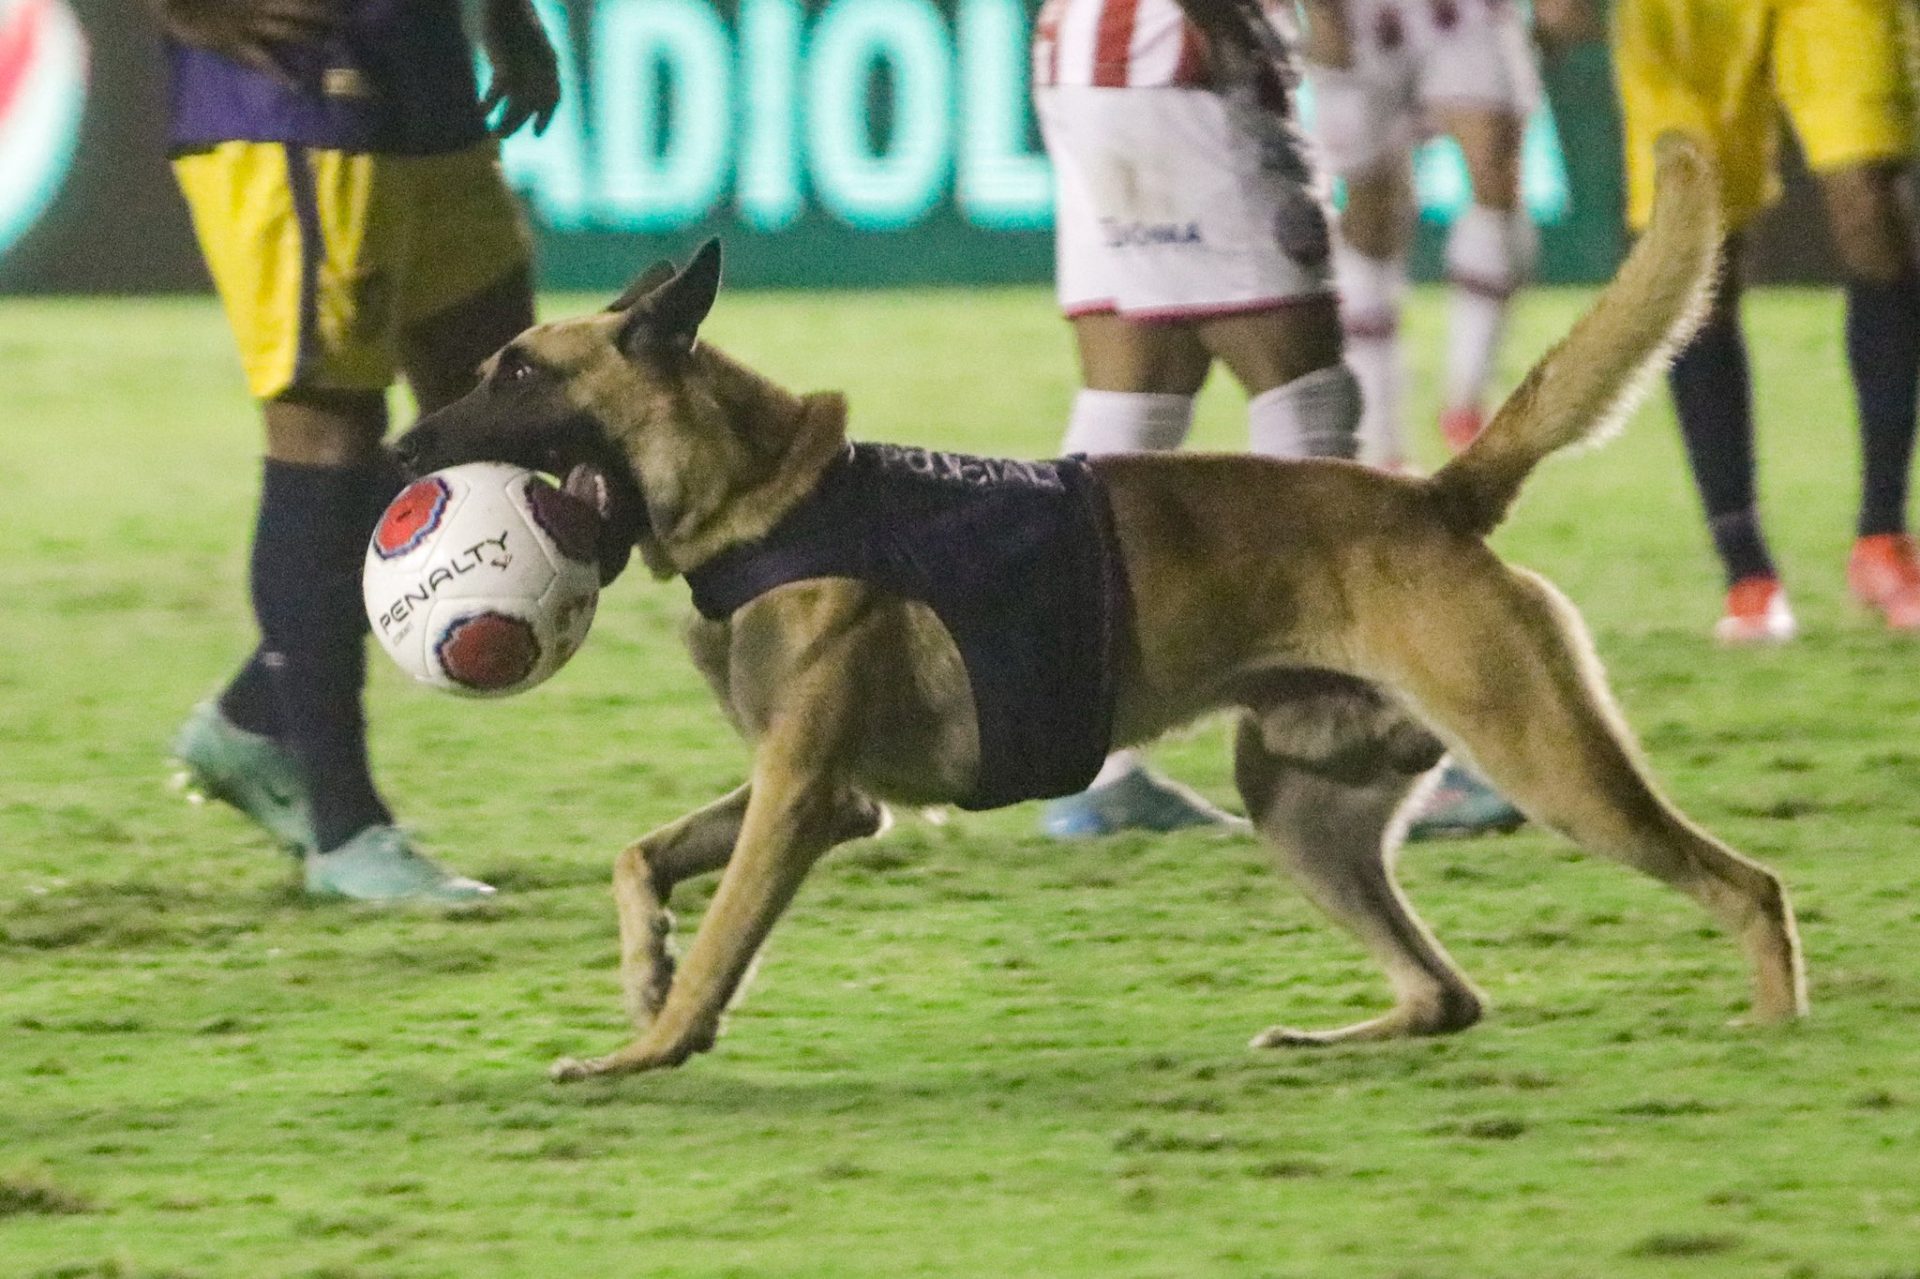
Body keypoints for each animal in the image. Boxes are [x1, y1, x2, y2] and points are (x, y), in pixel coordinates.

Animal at [397, 137, 1804, 1075]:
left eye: (516, 372)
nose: (406, 446)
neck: (767, 496)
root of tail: (1436, 498)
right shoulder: (829, 793)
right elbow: (640, 857)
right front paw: (644, 974)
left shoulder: (801, 795)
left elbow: (724, 939)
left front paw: (650, 1045)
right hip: (1303, 812)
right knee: (1448, 994)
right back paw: (1329, 1036)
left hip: (1549, 759)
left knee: (1748, 887)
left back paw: (1779, 1028)